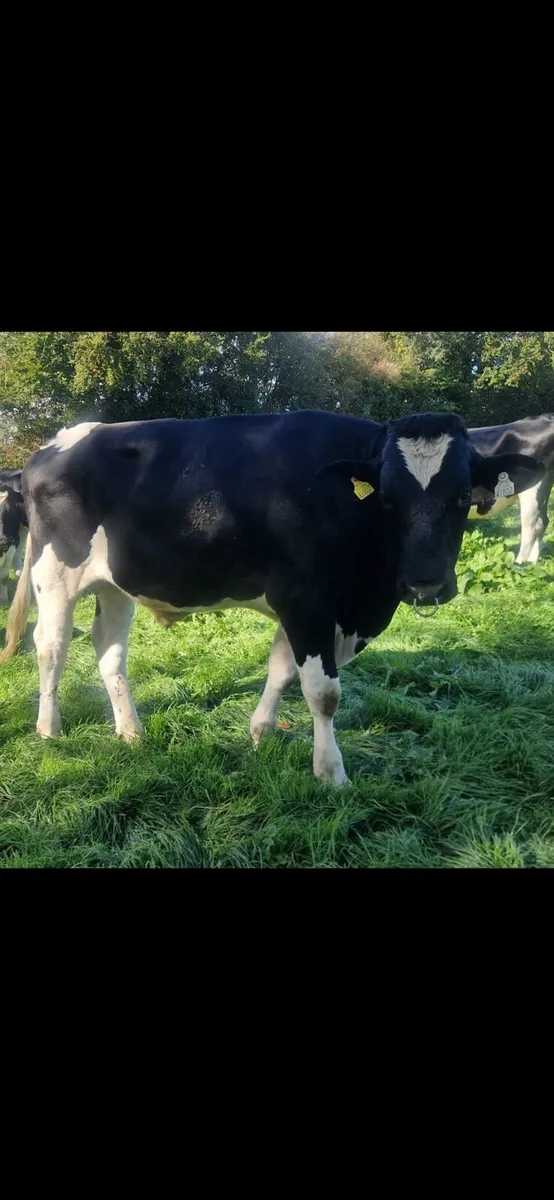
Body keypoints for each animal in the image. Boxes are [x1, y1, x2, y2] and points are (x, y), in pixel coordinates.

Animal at [0, 411, 544, 785]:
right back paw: (49, 728)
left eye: (463, 497)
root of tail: (49, 447)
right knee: (51, 646)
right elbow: (323, 692)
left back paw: (130, 731)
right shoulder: (305, 599)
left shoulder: (317, 609)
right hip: (54, 574)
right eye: (389, 498)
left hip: (117, 584)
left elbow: (282, 669)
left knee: (108, 651)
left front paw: (260, 734)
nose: (424, 584)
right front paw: (331, 773)